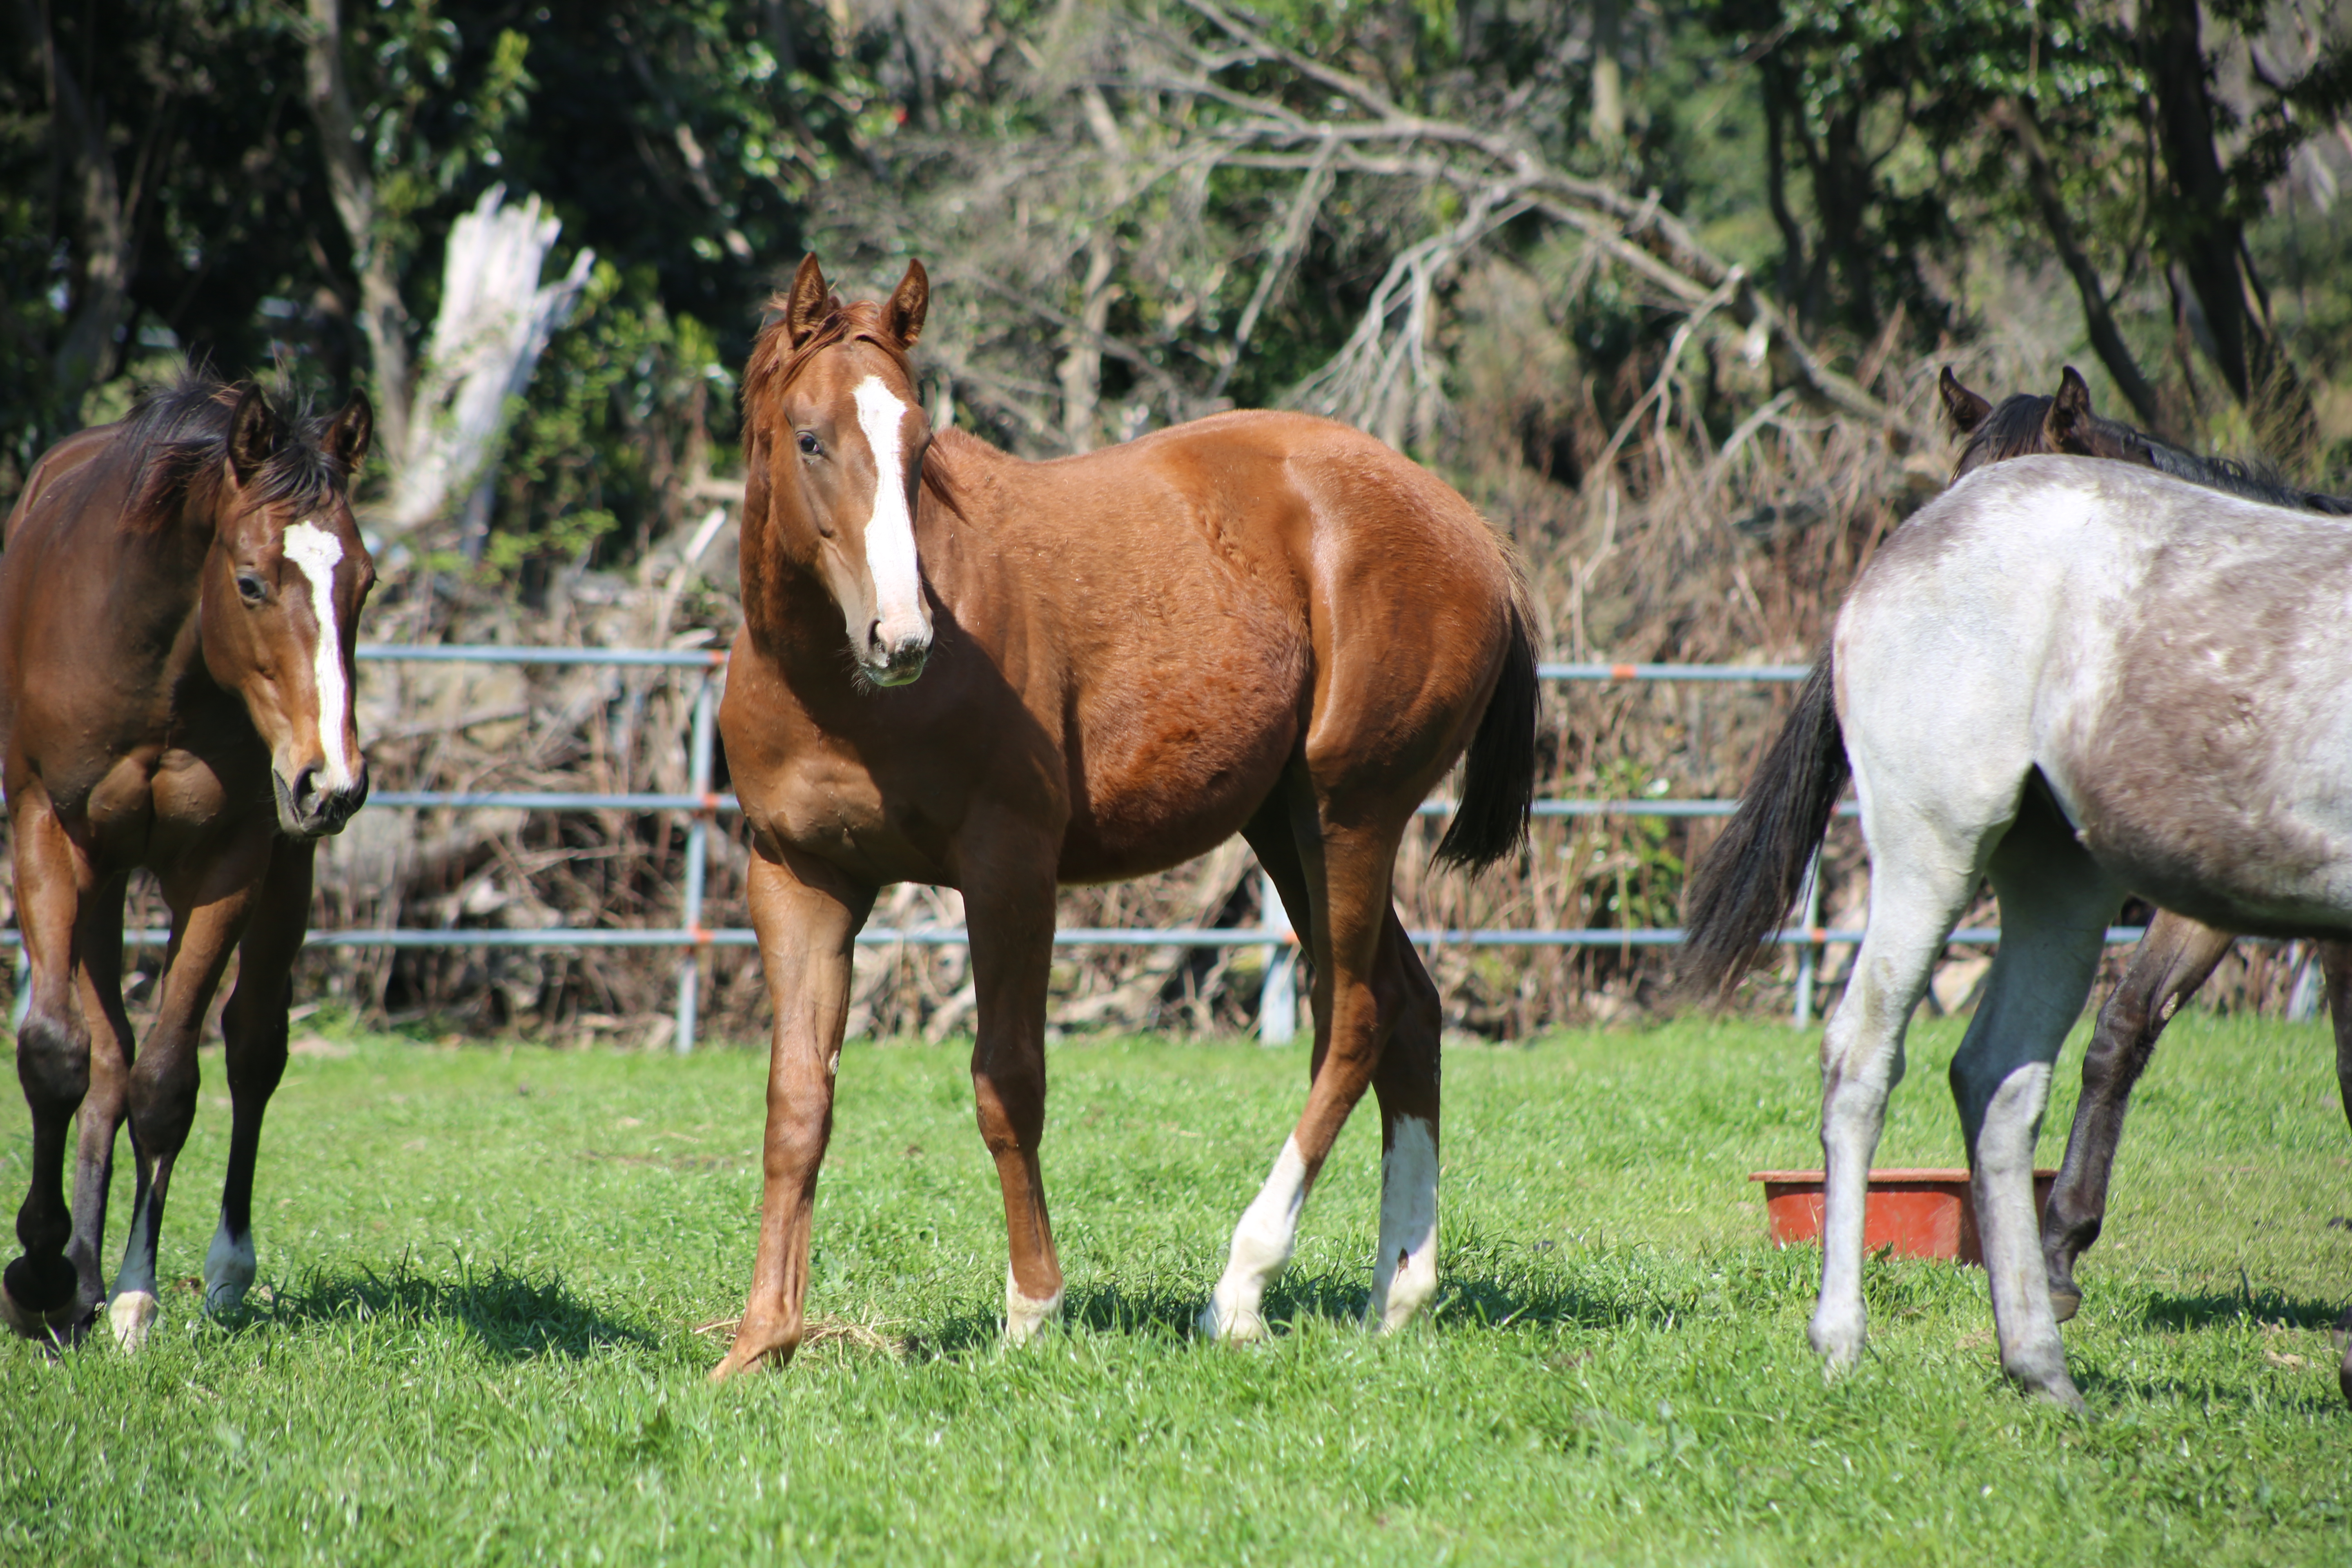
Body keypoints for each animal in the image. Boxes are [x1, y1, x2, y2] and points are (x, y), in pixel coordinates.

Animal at [0, 371, 372, 1354]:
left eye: (364, 583)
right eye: (250, 581)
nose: (334, 781)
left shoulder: (232, 859)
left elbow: (169, 1081)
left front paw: (134, 1298)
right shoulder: (49, 832)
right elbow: (61, 1055)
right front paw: (45, 1278)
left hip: (286, 873)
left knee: (252, 1048)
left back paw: (222, 1271)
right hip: (102, 884)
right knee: (107, 1062)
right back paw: (78, 1278)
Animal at [706, 255, 1533, 1373]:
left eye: (920, 443)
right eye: (810, 438)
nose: (901, 635)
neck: (831, 688)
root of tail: (1467, 527)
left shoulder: (1007, 868)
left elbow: (1007, 1082)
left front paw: (1031, 1309)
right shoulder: (799, 880)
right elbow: (797, 1104)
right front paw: (761, 1342)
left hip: (1351, 814)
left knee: (1355, 1017)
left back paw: (1240, 1288)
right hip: (1285, 827)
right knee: (1409, 1009)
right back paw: (1397, 1292)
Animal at [1684, 439, 2352, 1410]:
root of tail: (1912, 538)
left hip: (2062, 882)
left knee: (1998, 1077)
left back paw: (2040, 1366)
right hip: (1935, 850)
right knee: (1863, 1056)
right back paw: (1844, 1342)